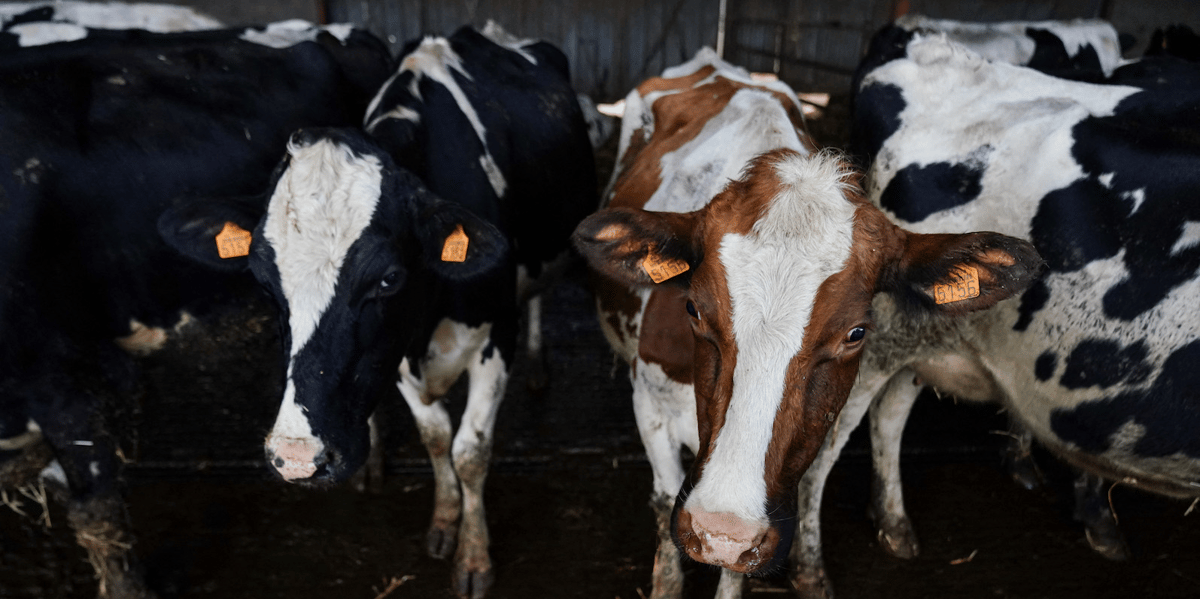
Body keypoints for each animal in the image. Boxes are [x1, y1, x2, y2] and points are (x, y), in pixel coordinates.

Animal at [161, 23, 598, 599]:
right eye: (262, 280)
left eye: (388, 279)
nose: (297, 457)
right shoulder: (394, 354)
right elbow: (436, 438)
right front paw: (444, 522)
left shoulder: (493, 337)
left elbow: (470, 451)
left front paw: (474, 557)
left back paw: (540, 365)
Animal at [570, 48, 1041, 599]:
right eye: (693, 310)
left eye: (856, 333)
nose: (721, 528)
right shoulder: (648, 403)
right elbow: (666, 511)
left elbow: (737, 566)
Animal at [785, 34, 1200, 599]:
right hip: (880, 344)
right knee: (825, 450)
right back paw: (810, 570)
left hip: (926, 334)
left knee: (889, 415)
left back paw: (895, 524)